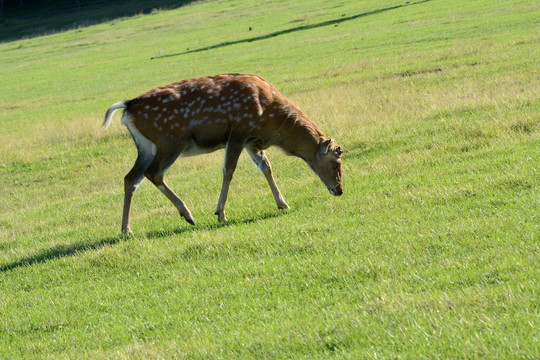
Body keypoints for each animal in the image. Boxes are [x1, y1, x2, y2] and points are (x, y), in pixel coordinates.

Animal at [103, 74, 344, 235]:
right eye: (337, 162)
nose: (339, 190)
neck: (272, 120)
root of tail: (127, 107)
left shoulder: (252, 140)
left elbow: (266, 167)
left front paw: (283, 203)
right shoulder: (239, 131)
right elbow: (229, 170)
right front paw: (220, 214)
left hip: (145, 146)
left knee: (131, 178)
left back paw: (126, 230)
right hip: (170, 140)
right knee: (153, 173)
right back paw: (188, 215)